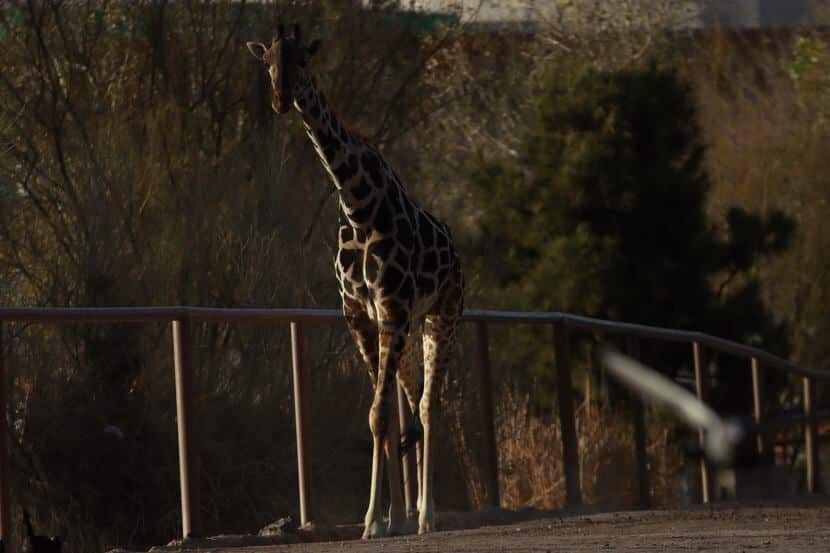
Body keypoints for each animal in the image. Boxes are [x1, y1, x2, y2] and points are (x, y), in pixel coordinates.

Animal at [247, 23, 468, 536]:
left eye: (302, 59)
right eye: (266, 60)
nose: (281, 100)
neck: (357, 205)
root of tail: (455, 250)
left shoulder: (392, 310)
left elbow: (381, 412)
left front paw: (374, 519)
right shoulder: (359, 315)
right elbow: (377, 416)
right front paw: (383, 519)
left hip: (442, 316)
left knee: (429, 405)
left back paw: (428, 514)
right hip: (410, 327)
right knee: (412, 400)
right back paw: (410, 513)